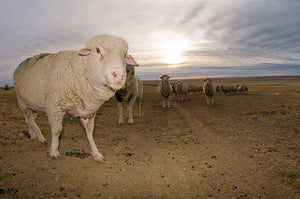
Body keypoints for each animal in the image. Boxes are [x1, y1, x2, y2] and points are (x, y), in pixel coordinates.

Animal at [12, 33, 137, 162]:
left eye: (125, 54)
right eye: (97, 50)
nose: (119, 76)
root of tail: (21, 63)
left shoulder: (88, 111)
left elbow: (89, 132)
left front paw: (96, 153)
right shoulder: (54, 108)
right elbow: (57, 131)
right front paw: (54, 151)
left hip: (33, 104)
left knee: (29, 119)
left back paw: (33, 134)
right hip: (22, 101)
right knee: (30, 120)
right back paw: (40, 137)